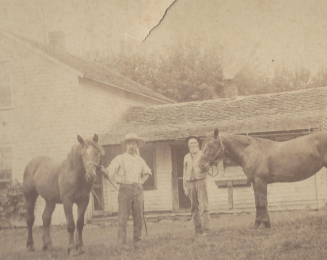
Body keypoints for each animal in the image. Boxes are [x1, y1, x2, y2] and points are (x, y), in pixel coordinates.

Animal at [199, 129, 327, 229]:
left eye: (210, 145)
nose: (201, 165)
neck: (250, 151)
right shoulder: (255, 182)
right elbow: (258, 203)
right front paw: (258, 224)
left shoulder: (261, 181)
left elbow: (262, 203)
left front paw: (265, 223)